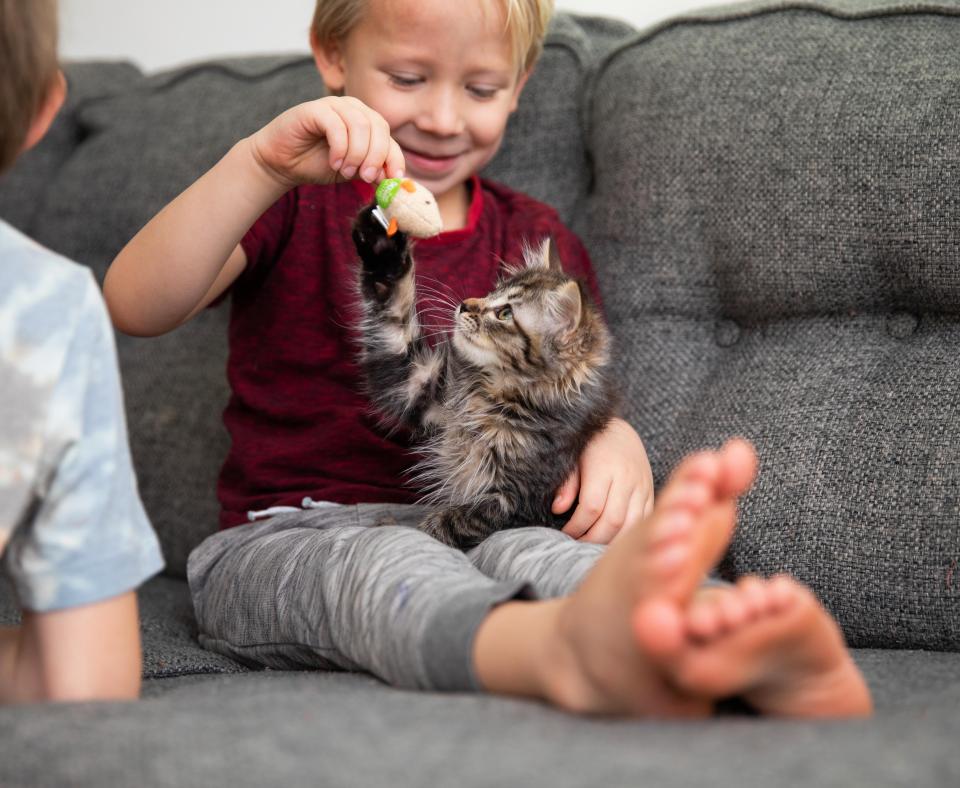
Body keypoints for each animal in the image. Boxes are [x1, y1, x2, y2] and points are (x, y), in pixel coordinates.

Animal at [356, 203, 620, 548]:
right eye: (492, 291)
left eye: (505, 314)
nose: (463, 305)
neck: (492, 394)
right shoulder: (416, 383)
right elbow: (394, 320)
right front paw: (383, 247)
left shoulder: (520, 502)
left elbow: (451, 522)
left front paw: (414, 529)